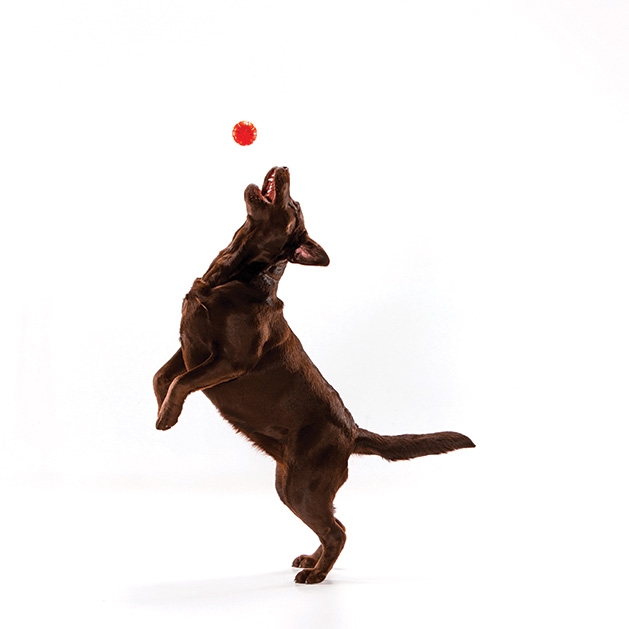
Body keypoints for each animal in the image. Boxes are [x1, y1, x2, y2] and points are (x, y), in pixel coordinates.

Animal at [153, 167, 476, 584]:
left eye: (293, 205)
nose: (284, 168)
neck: (234, 272)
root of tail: (353, 431)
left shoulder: (231, 359)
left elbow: (182, 380)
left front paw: (167, 417)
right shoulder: (188, 347)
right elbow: (162, 377)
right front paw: (163, 410)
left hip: (301, 486)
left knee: (337, 530)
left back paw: (317, 575)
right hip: (291, 483)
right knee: (331, 524)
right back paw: (311, 560)